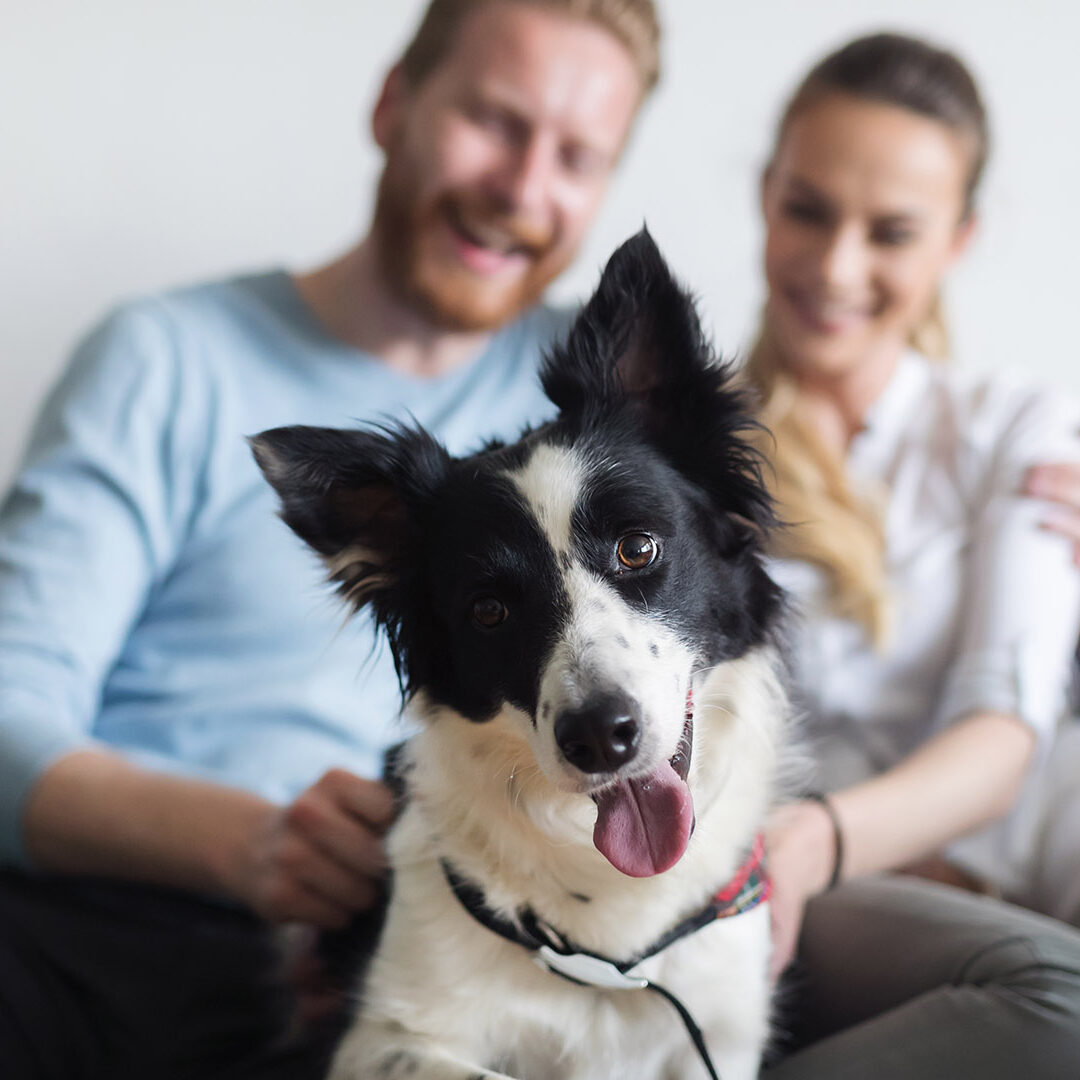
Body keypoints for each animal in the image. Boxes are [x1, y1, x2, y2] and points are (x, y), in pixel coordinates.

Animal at [253, 232, 794, 1075]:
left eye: (638, 548)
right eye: (489, 611)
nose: (600, 736)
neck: (615, 955)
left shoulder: (721, 1035)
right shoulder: (388, 1039)